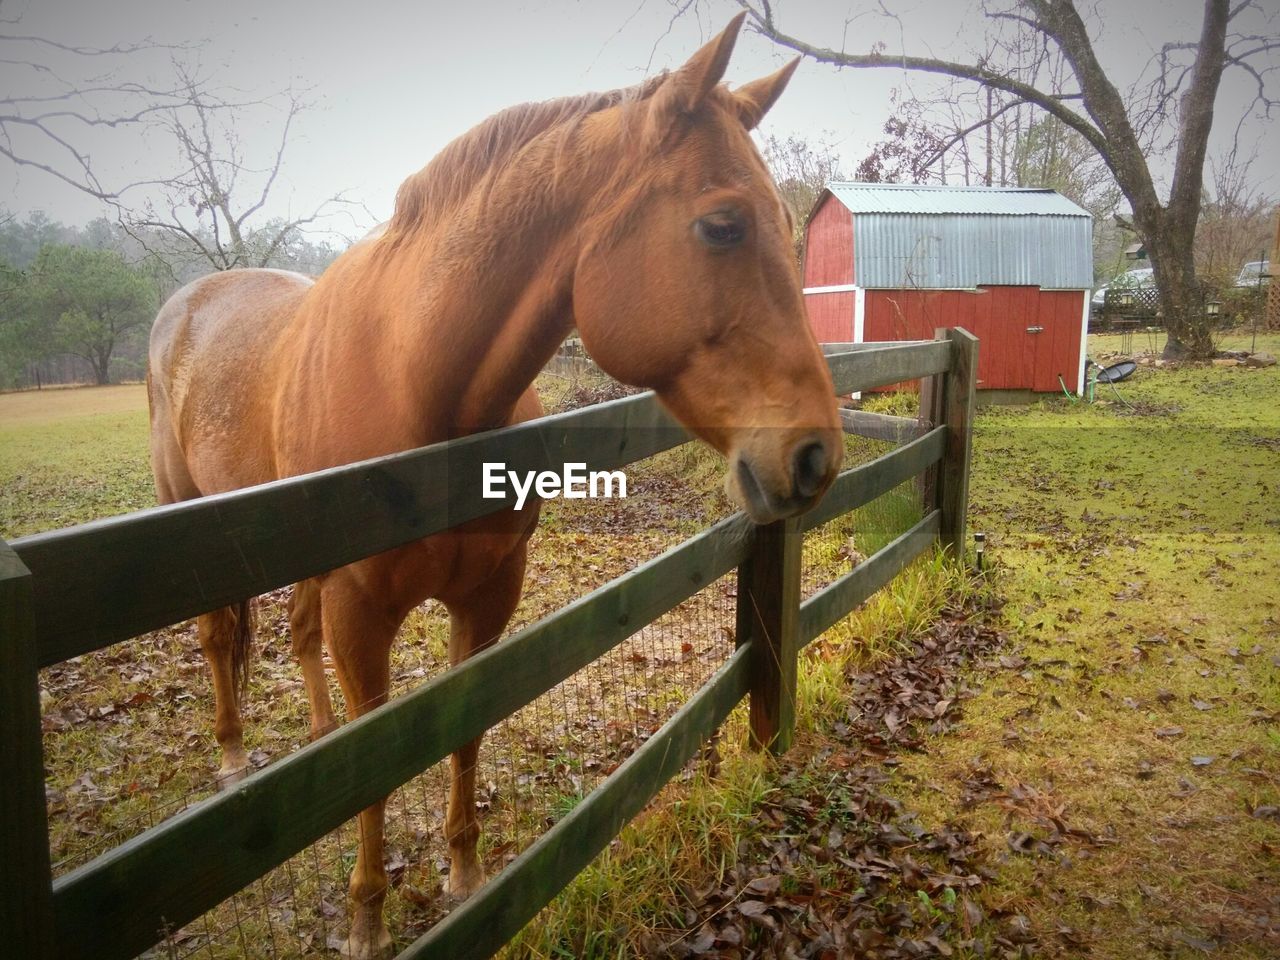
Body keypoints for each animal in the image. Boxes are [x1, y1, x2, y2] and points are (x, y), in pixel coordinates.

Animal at [147, 13, 839, 957]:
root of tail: (186, 305)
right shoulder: (364, 612)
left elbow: (463, 727)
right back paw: (230, 755)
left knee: (296, 636)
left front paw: (466, 873)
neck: (415, 377)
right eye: (723, 225)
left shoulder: (488, 594)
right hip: (191, 524)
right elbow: (375, 764)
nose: (814, 457)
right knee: (221, 640)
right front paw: (367, 917)